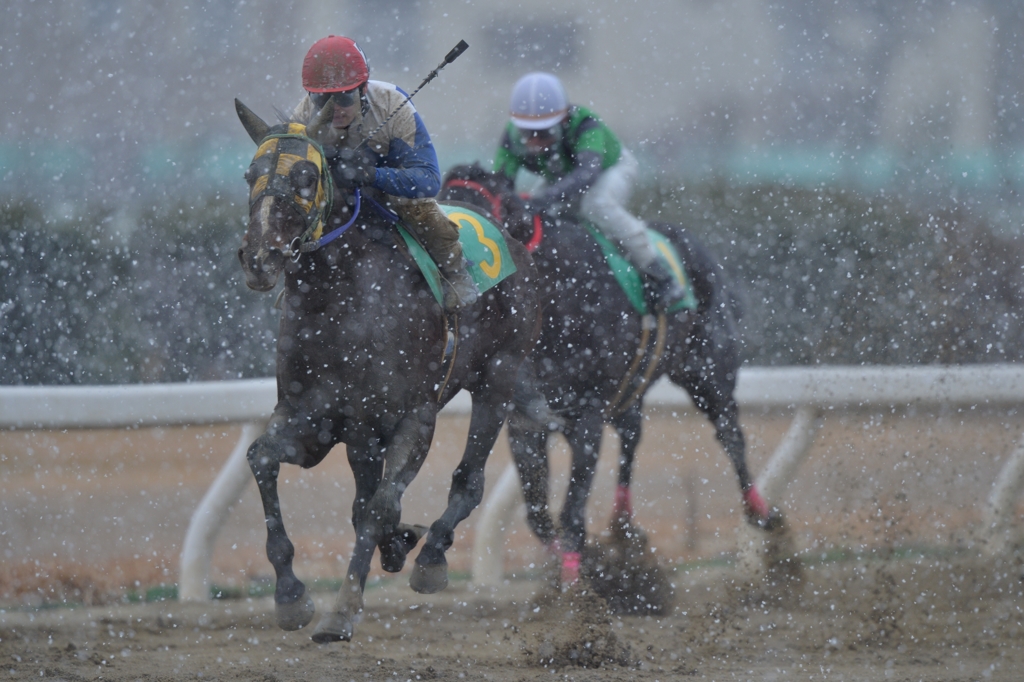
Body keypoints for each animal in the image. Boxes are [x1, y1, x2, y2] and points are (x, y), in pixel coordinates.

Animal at [231, 102, 536, 643]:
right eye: (251, 174)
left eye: (308, 176)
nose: (260, 259)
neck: (341, 302)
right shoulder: (316, 420)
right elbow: (263, 459)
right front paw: (290, 595)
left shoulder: (412, 417)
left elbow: (379, 506)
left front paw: (341, 611)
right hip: (362, 435)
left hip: (498, 380)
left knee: (468, 479)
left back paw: (431, 556)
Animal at [440, 163, 782, 585]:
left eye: (483, 223)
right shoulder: (524, 425)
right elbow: (538, 516)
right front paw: (582, 566)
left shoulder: (587, 413)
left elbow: (572, 510)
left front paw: (575, 582)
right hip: (633, 385)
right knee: (633, 433)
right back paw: (622, 524)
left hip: (707, 370)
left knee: (730, 434)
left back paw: (760, 512)